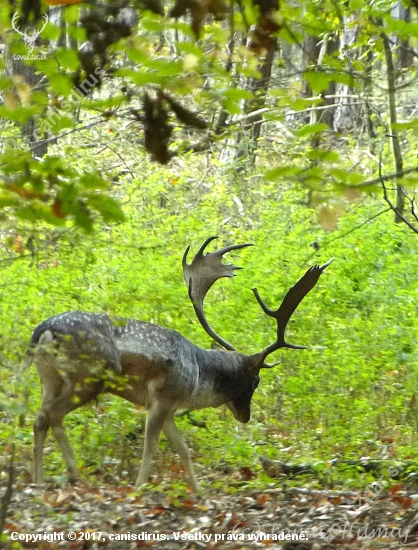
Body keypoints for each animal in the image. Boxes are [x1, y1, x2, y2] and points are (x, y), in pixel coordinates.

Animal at [27, 237, 332, 492]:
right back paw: (65, 475)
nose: (245, 416)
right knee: (51, 414)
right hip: (89, 377)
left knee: (41, 416)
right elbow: (151, 446)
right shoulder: (161, 397)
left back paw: (45, 479)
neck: (196, 378)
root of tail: (43, 331)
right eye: (255, 380)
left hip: (49, 378)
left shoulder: (170, 408)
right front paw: (139, 487)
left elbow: (183, 449)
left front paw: (200, 492)